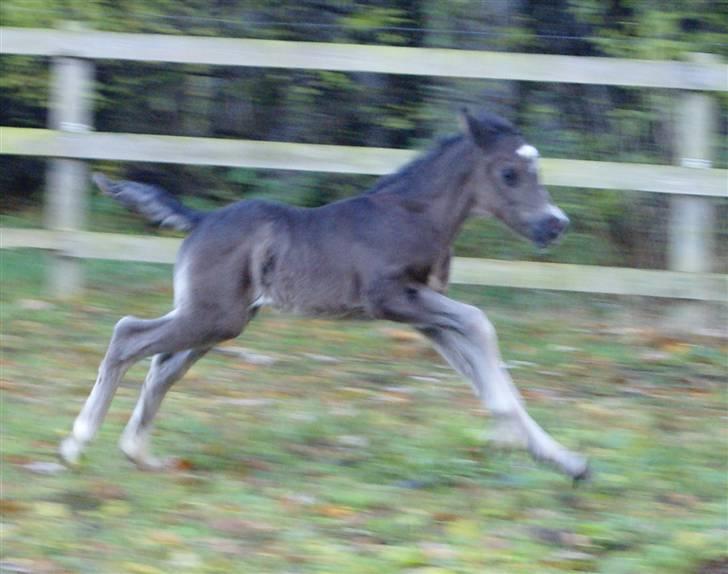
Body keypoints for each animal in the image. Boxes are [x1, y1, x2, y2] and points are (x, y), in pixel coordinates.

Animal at [59, 111, 588, 482]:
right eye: (509, 173)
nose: (556, 225)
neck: (412, 214)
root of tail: (201, 220)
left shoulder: (424, 316)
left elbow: (478, 363)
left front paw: (564, 460)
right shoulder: (391, 298)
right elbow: (481, 324)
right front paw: (510, 434)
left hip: (219, 321)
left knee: (161, 367)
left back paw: (139, 454)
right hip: (212, 316)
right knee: (128, 335)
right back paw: (77, 444)